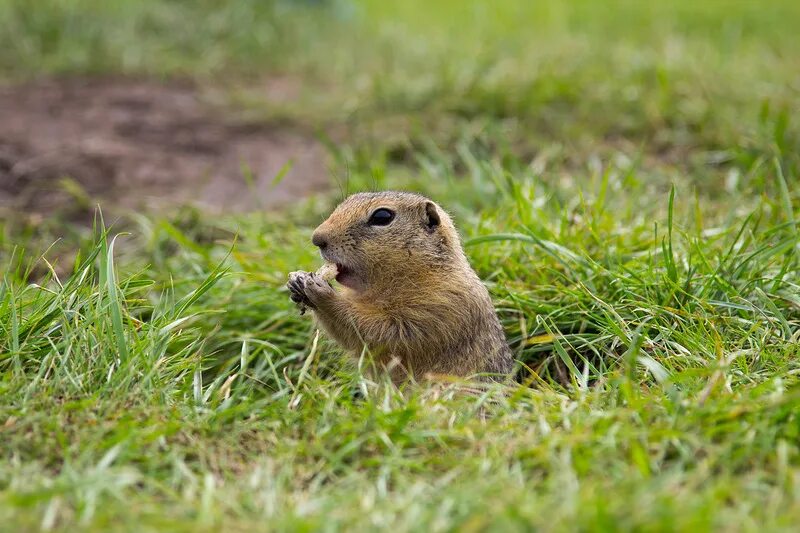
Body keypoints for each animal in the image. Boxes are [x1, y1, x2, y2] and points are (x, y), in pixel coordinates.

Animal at [288, 191, 512, 382]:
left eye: (382, 216)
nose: (317, 239)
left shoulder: (443, 305)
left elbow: (386, 334)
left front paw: (321, 292)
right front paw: (297, 280)